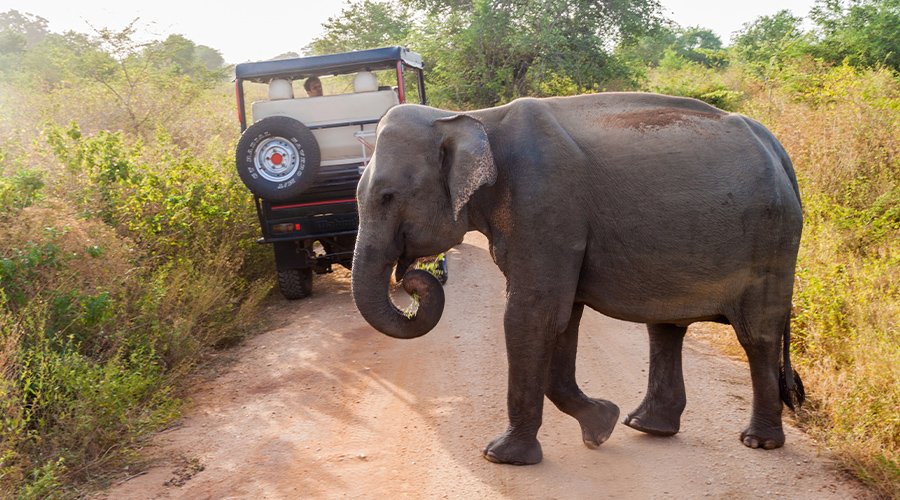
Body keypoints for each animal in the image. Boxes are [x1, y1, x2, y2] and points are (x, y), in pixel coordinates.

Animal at [351, 92, 805, 466]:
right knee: (665, 328)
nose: (412, 277)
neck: (472, 118)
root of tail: (778, 149)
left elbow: (532, 315)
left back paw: (758, 442)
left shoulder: (544, 204)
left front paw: (501, 456)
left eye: (387, 197)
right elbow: (561, 318)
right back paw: (645, 426)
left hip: (772, 239)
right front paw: (601, 425)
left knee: (757, 335)